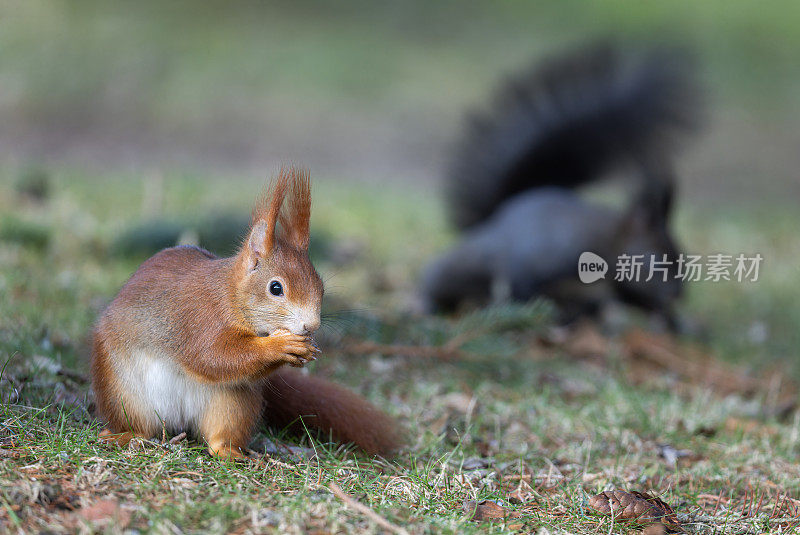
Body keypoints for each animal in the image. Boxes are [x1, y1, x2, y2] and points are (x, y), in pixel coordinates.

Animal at [92, 169, 400, 460]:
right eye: (276, 288)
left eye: (321, 286)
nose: (310, 326)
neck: (230, 297)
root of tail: (178, 420)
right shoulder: (198, 318)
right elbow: (213, 356)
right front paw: (280, 345)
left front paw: (303, 349)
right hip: (123, 391)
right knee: (140, 425)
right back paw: (126, 434)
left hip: (233, 404)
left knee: (218, 438)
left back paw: (231, 452)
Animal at [424, 43, 700, 326]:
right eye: (657, 259)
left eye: (681, 257)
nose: (678, 294)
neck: (605, 239)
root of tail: (499, 212)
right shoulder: (538, 256)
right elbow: (521, 283)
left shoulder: (624, 285)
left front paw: (672, 320)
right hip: (471, 260)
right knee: (441, 277)